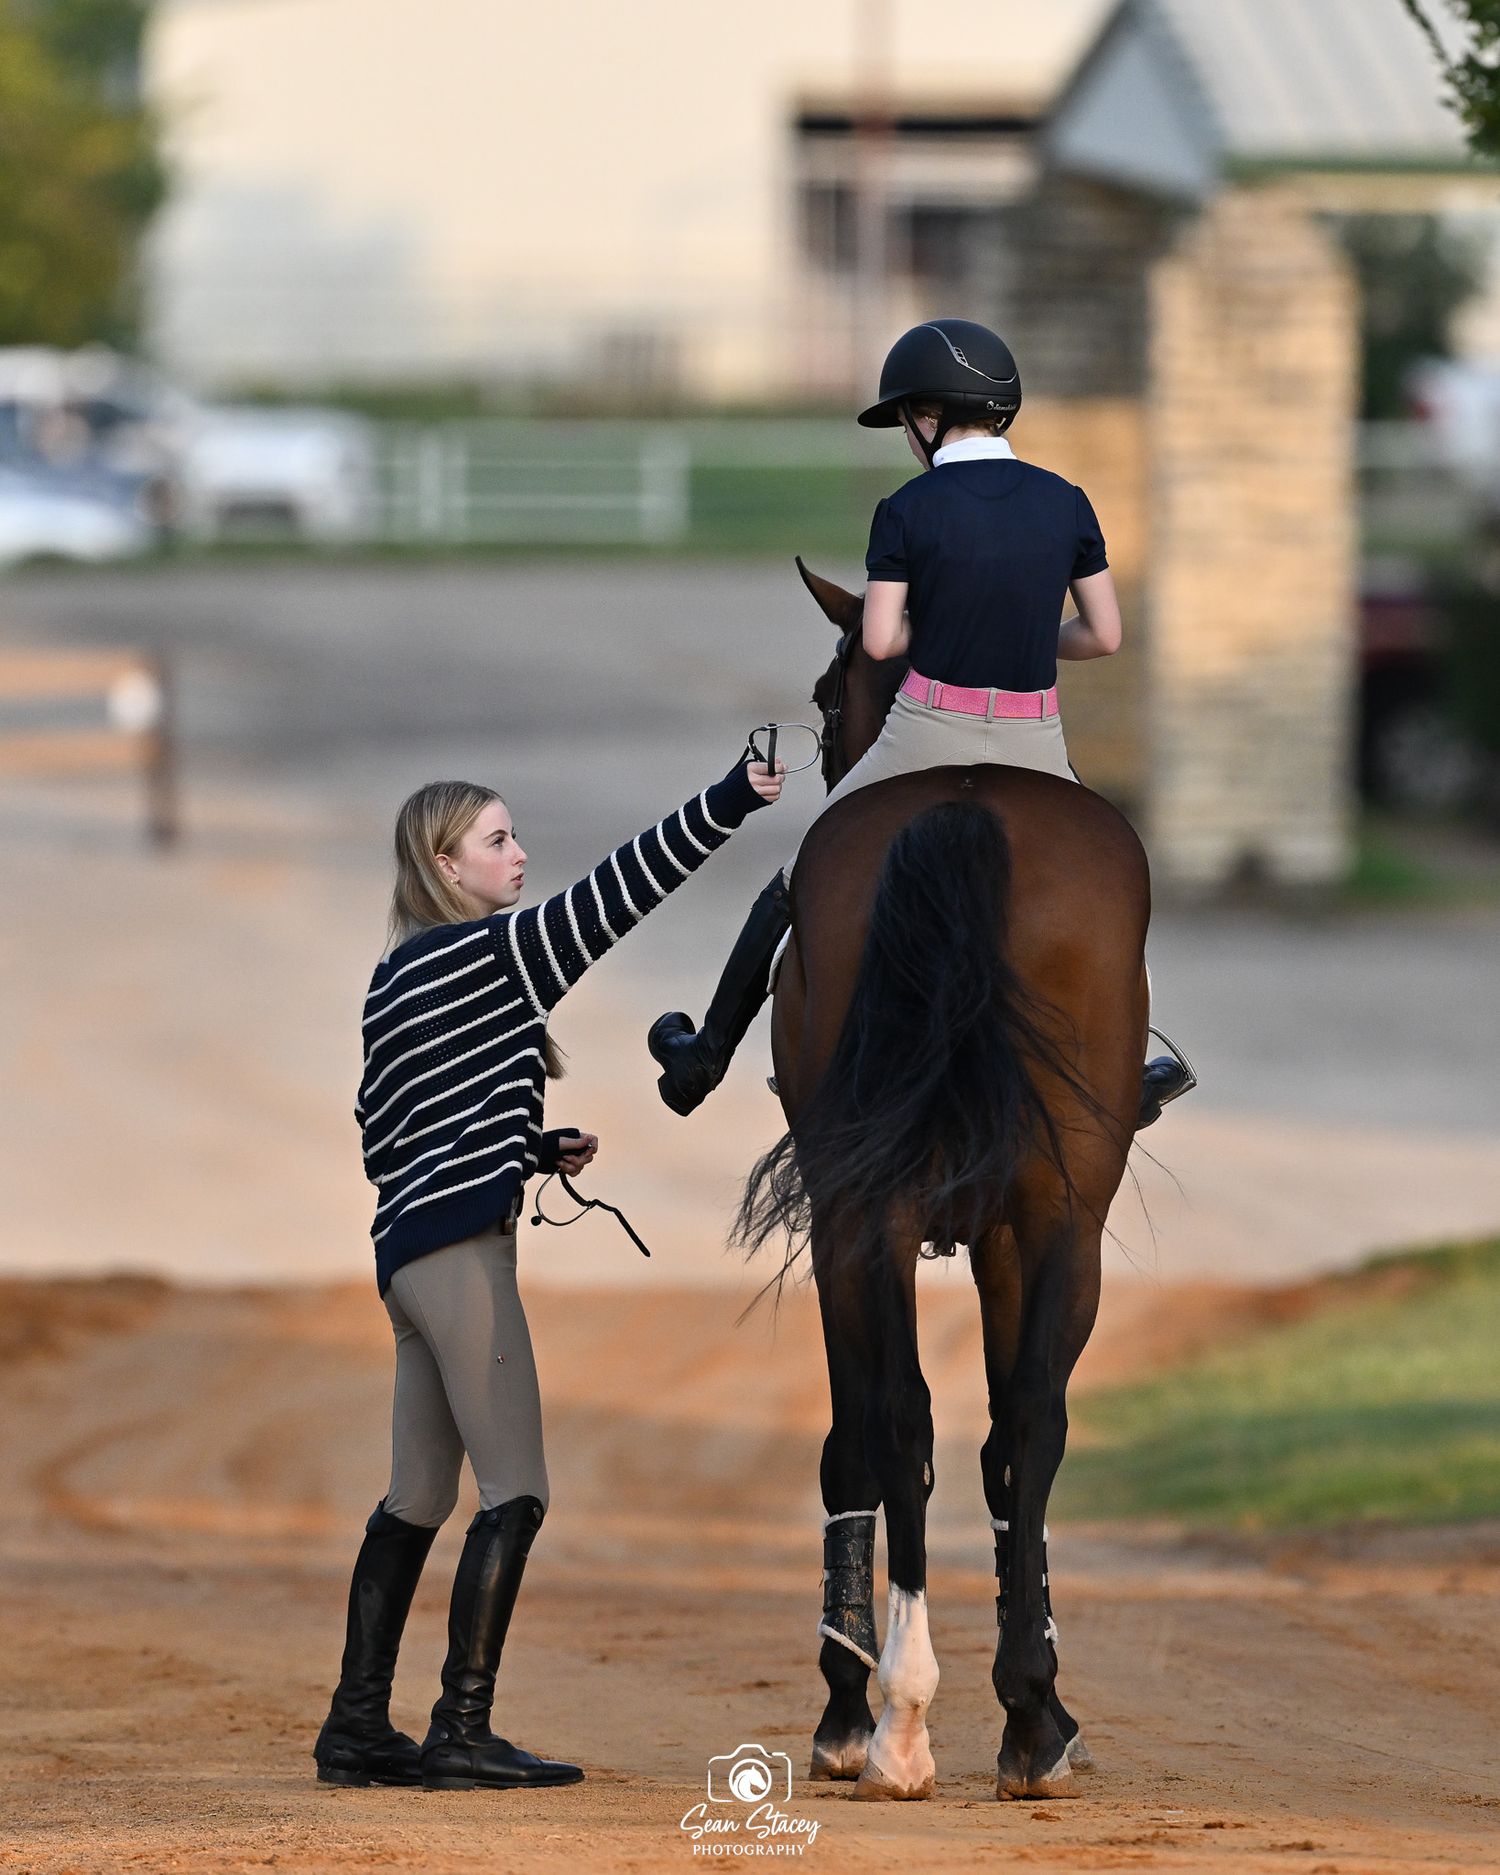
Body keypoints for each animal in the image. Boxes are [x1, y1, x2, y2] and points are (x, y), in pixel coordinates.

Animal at [736, 559, 1149, 1802]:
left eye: (828, 700)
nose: (824, 742)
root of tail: (965, 811)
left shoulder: (865, 1226)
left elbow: (861, 1440)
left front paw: (848, 1706)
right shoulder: (1001, 1234)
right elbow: (990, 1446)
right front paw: (1026, 1697)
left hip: (883, 1217)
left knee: (917, 1422)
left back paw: (909, 1717)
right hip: (1046, 1216)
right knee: (1017, 1425)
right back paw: (996, 1723)